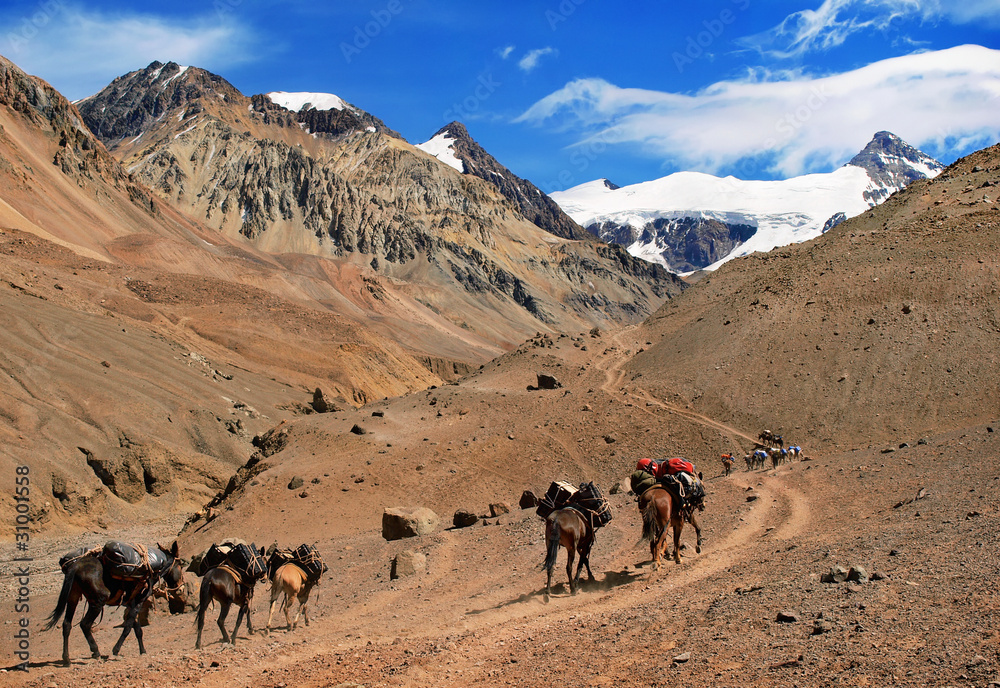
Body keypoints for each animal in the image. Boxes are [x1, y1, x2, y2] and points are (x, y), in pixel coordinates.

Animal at [42, 540, 184, 664]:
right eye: (181, 566)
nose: (181, 588)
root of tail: (76, 565)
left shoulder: (131, 603)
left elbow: (137, 629)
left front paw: (142, 651)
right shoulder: (139, 601)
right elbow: (128, 627)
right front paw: (116, 650)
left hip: (73, 598)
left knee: (67, 624)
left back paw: (66, 659)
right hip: (97, 603)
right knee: (85, 624)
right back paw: (96, 652)